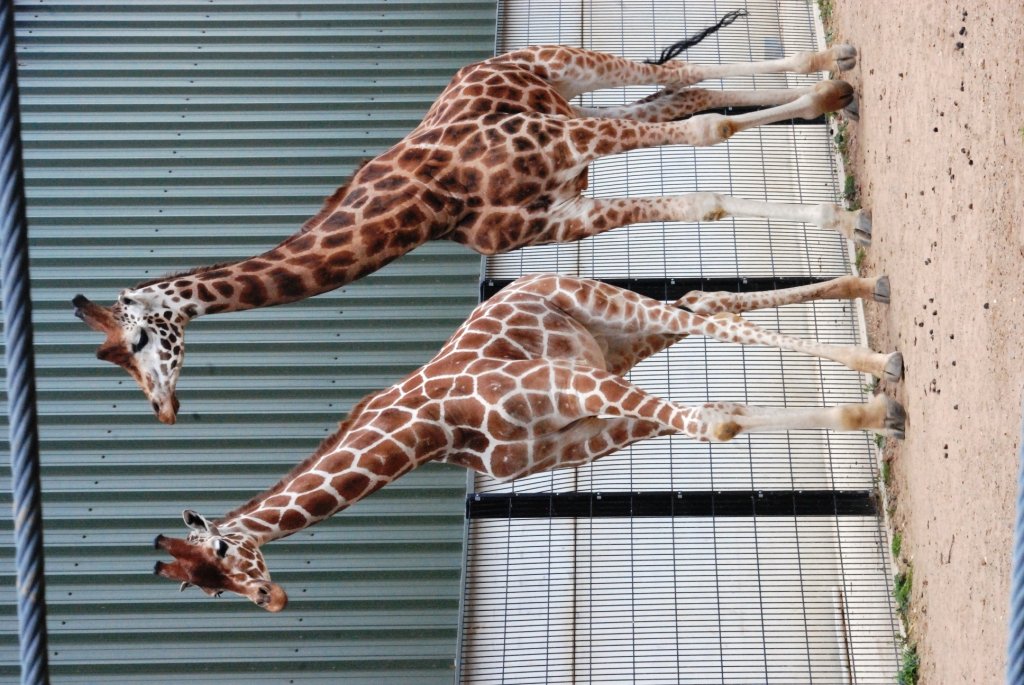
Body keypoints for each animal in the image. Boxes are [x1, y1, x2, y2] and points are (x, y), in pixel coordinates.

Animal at [73, 15, 866, 424]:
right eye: (122, 369)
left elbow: (709, 139)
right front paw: (844, 221)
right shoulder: (563, 215)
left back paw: (834, 61)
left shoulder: (563, 145)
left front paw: (846, 223)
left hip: (571, 76)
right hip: (569, 101)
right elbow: (700, 178)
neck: (427, 205)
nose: (166, 409)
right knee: (684, 89)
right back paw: (830, 89)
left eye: (141, 341)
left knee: (679, 81)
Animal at [154, 273, 904, 610]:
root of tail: (534, 274)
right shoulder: (579, 435)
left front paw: (878, 404)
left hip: (606, 314)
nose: (274, 600)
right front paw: (869, 417)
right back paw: (867, 287)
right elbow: (723, 416)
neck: (433, 431)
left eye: (223, 553)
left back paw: (880, 354)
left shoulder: (574, 386)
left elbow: (714, 423)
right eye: (210, 593)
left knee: (711, 314)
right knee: (706, 299)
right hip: (621, 344)